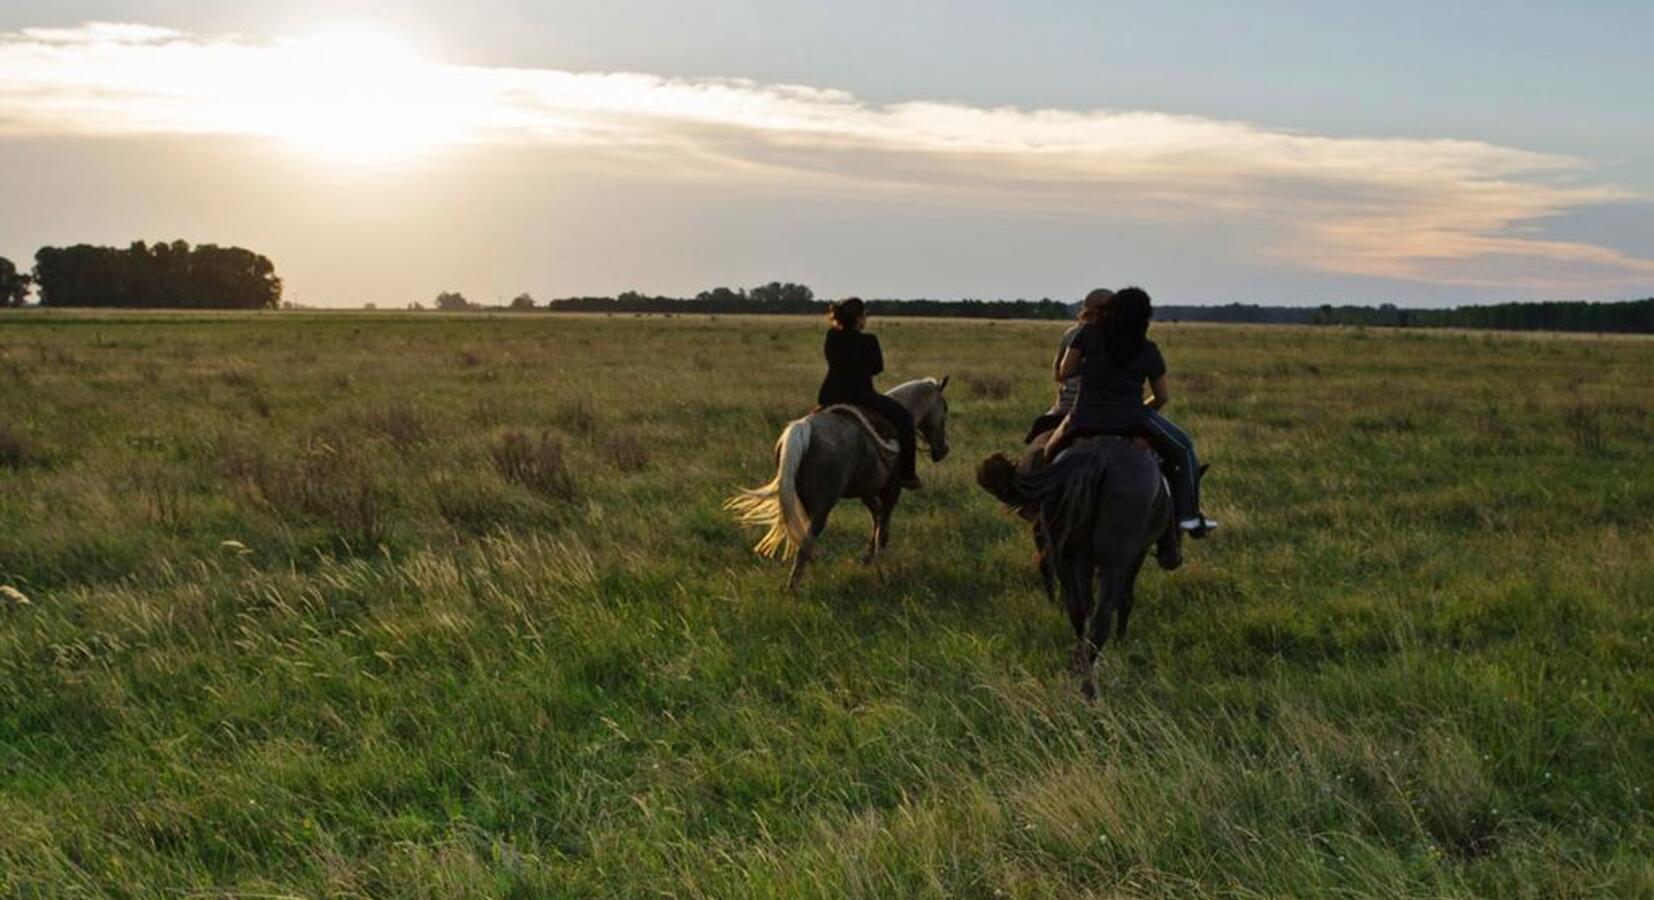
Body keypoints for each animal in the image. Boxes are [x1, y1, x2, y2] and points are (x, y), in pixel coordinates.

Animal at [731, 377, 952, 588]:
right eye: (944, 408)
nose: (943, 450)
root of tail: (804, 428)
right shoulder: (891, 489)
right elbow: (883, 522)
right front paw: (879, 563)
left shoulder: (866, 491)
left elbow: (877, 516)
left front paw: (868, 557)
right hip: (823, 506)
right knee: (805, 545)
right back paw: (792, 588)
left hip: (806, 502)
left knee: (807, 543)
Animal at [979, 440, 1177, 698]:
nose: (1172, 557)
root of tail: (1098, 456)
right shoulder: (1135, 556)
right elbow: (1125, 600)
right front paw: (1121, 642)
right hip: (1112, 562)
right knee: (1101, 619)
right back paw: (1089, 687)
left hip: (1068, 553)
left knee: (1077, 608)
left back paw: (1080, 666)